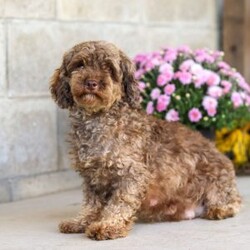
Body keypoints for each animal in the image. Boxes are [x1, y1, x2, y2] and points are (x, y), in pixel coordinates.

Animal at [49, 40, 241, 240]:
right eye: (80, 65)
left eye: (109, 68)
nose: (91, 83)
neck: (98, 120)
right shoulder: (92, 178)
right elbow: (91, 204)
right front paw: (81, 222)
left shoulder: (132, 173)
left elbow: (120, 203)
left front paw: (108, 225)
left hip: (216, 181)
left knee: (233, 202)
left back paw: (220, 209)